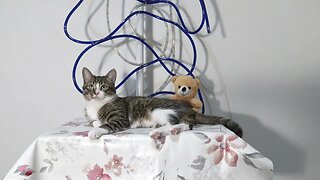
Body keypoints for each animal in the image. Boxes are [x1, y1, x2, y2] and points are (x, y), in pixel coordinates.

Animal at [82, 67, 242, 139]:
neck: (96, 105)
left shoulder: (120, 119)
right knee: (185, 124)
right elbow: (95, 121)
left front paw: (95, 131)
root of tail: (189, 109)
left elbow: (106, 125)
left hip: (160, 110)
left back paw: (161, 131)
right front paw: (96, 123)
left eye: (103, 87)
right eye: (91, 86)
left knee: (181, 124)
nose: (96, 92)